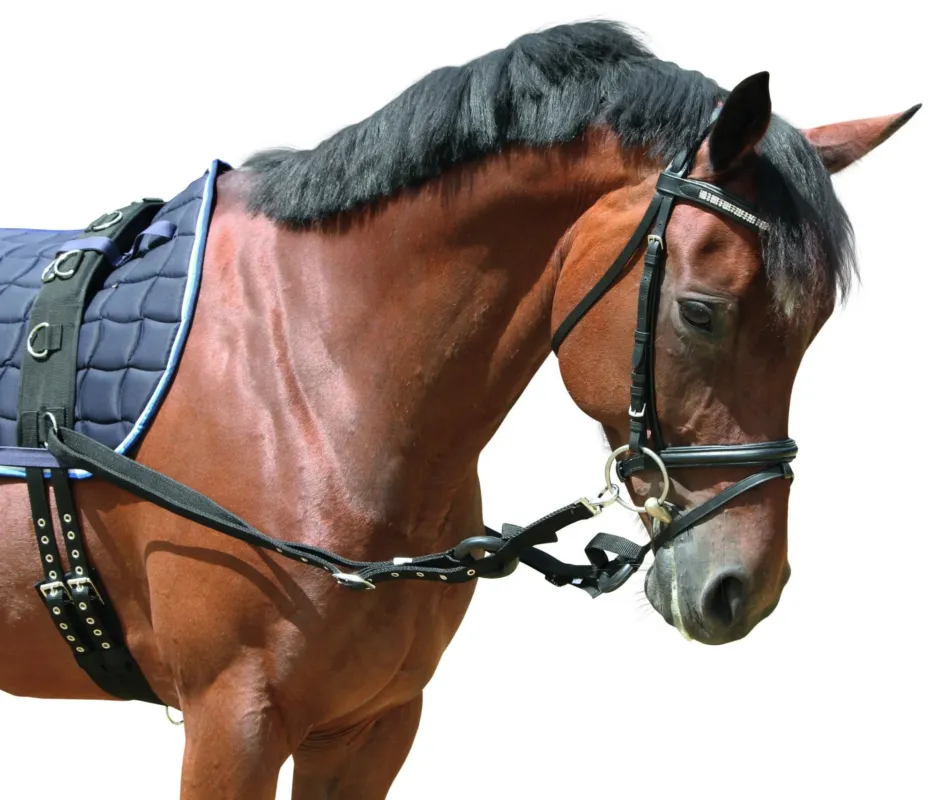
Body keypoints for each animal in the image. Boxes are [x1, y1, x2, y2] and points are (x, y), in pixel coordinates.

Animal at [0, 20, 919, 799]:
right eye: (700, 311)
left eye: (814, 326)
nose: (742, 589)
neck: (307, 376)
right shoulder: (233, 720)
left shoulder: (371, 724)